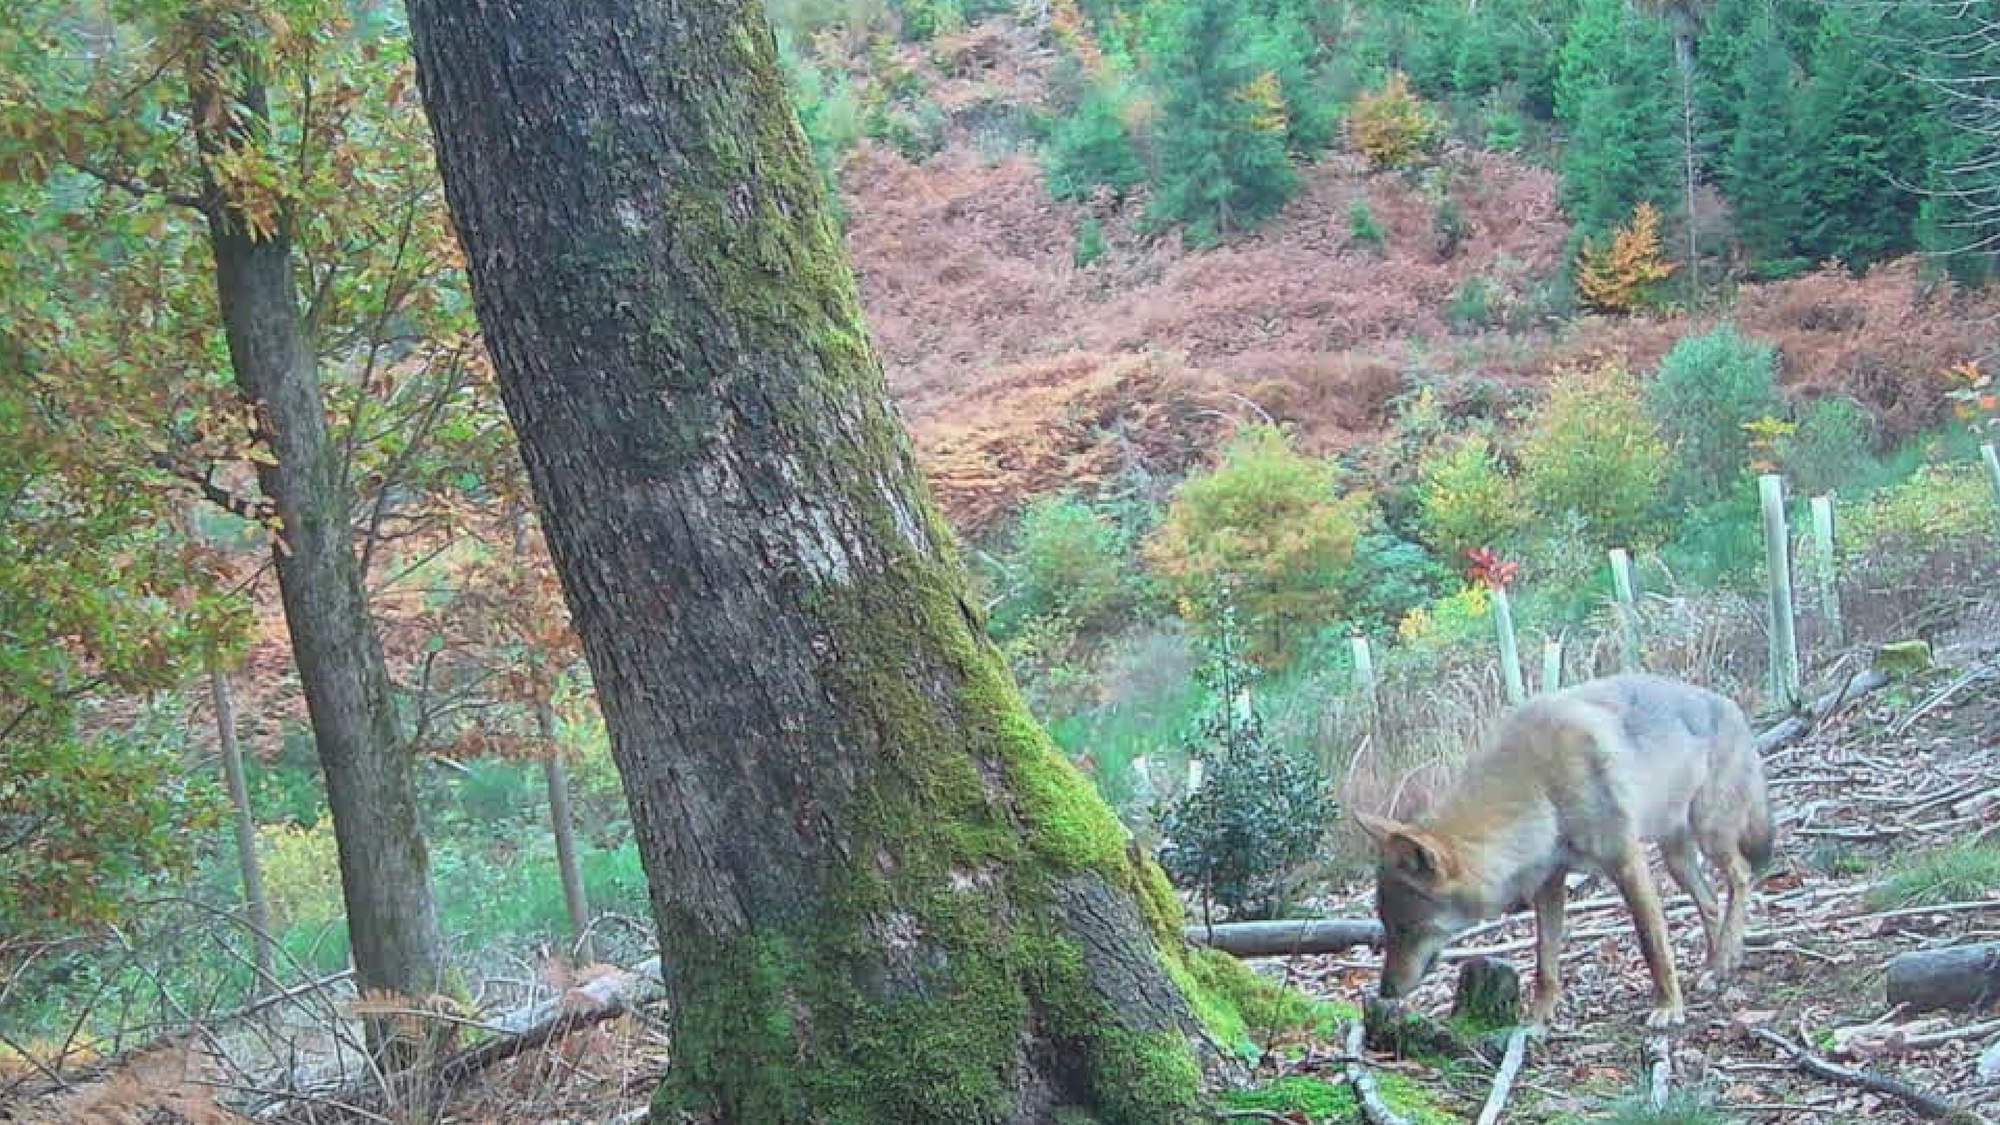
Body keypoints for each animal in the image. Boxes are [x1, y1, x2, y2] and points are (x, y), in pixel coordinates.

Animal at [1355, 672, 1772, 1029]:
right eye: (1388, 928)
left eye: (1406, 929)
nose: (1384, 991)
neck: (1539, 786)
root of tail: (1732, 706)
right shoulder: (1550, 885)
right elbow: (1545, 961)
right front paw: (1537, 1019)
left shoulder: (1626, 863)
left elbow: (1652, 944)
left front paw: (1669, 1007)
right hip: (1678, 861)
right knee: (1711, 901)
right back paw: (1717, 965)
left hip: (1709, 837)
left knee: (1742, 876)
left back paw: (1722, 961)